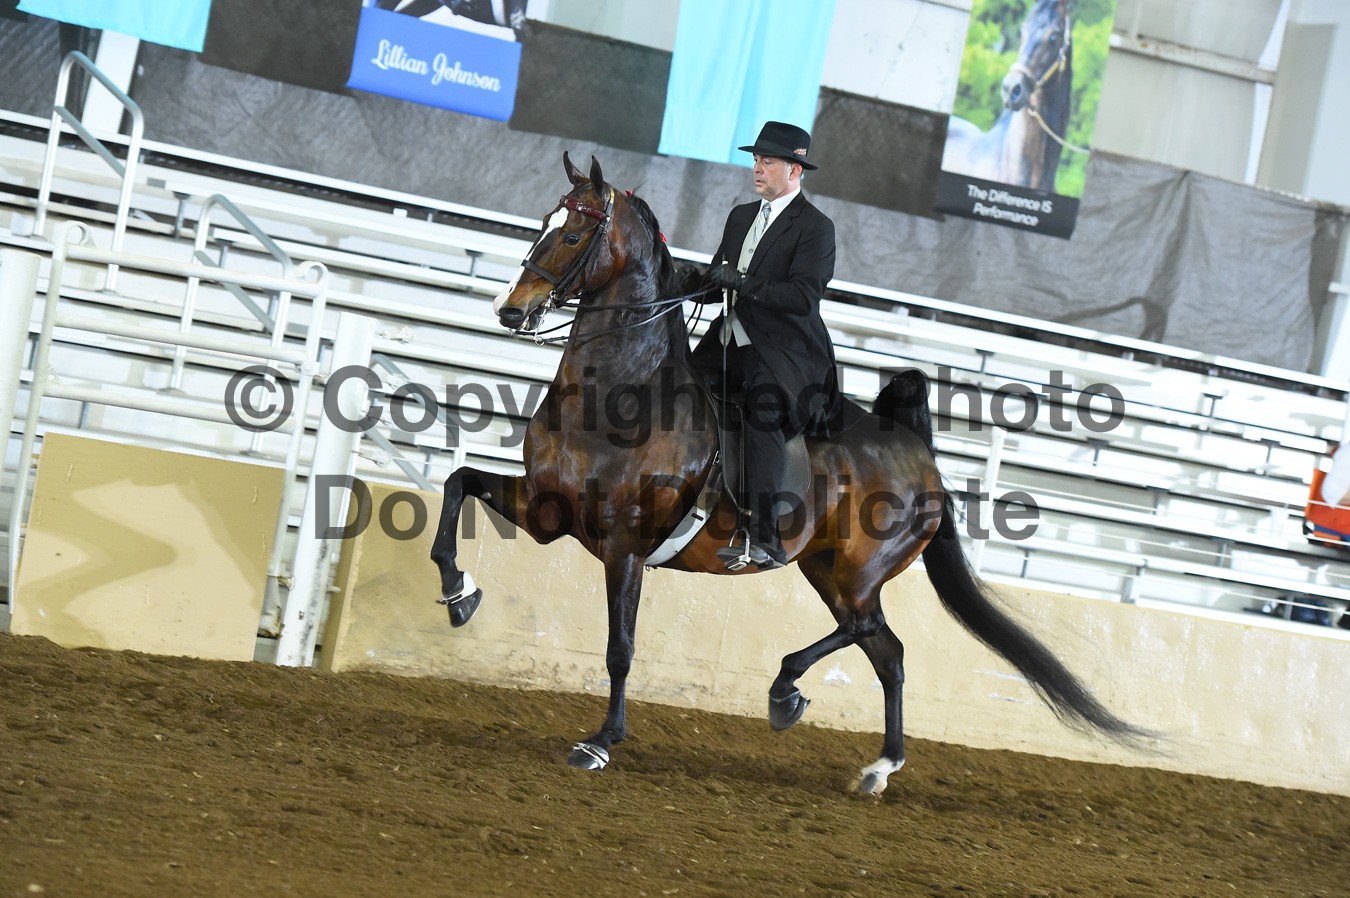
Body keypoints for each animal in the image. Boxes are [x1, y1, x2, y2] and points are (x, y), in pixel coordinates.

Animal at [429, 153, 1147, 794]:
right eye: (543, 222)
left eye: (574, 233)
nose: (511, 311)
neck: (617, 396)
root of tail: (919, 454)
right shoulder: (548, 511)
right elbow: (458, 484)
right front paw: (460, 594)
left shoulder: (625, 545)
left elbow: (620, 647)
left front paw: (601, 742)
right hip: (825, 569)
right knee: (889, 654)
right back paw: (877, 767)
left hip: (858, 571)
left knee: (865, 633)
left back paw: (786, 693)